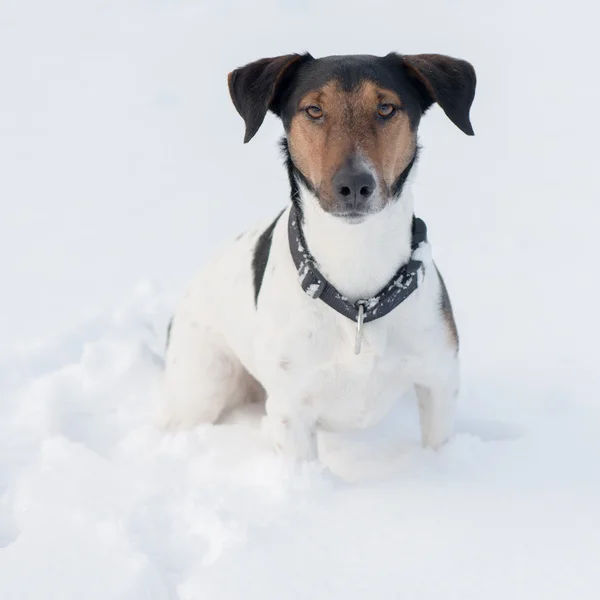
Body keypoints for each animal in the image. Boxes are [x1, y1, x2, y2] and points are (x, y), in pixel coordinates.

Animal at [162, 54, 476, 462]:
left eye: (386, 108)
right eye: (313, 110)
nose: (354, 184)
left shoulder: (438, 379)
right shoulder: (290, 408)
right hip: (202, 384)